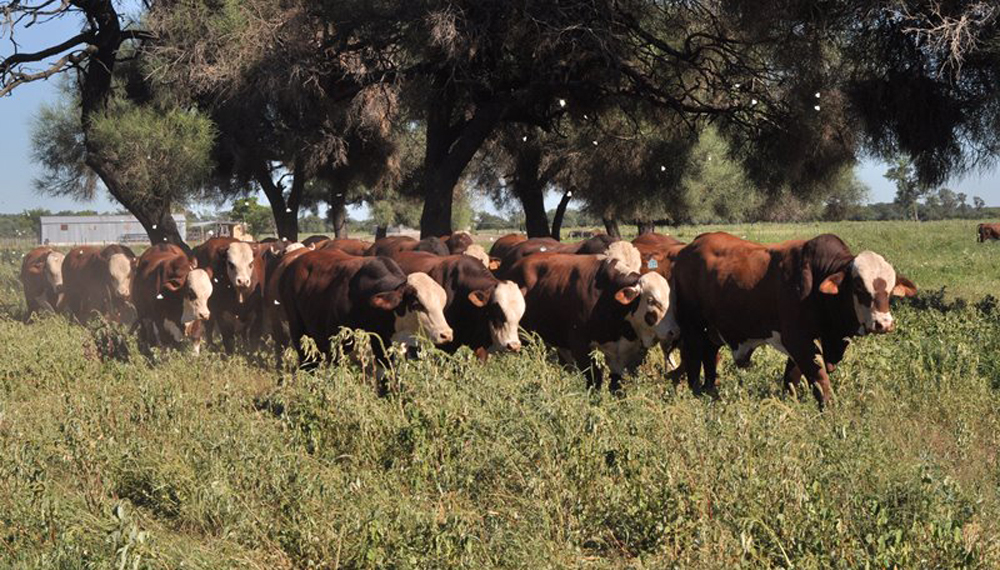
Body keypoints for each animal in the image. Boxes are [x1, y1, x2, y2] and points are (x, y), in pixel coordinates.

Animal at [508, 240, 680, 390]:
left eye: (672, 300)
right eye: (651, 300)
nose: (674, 332)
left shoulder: (623, 353)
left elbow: (616, 384)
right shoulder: (580, 346)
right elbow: (594, 379)